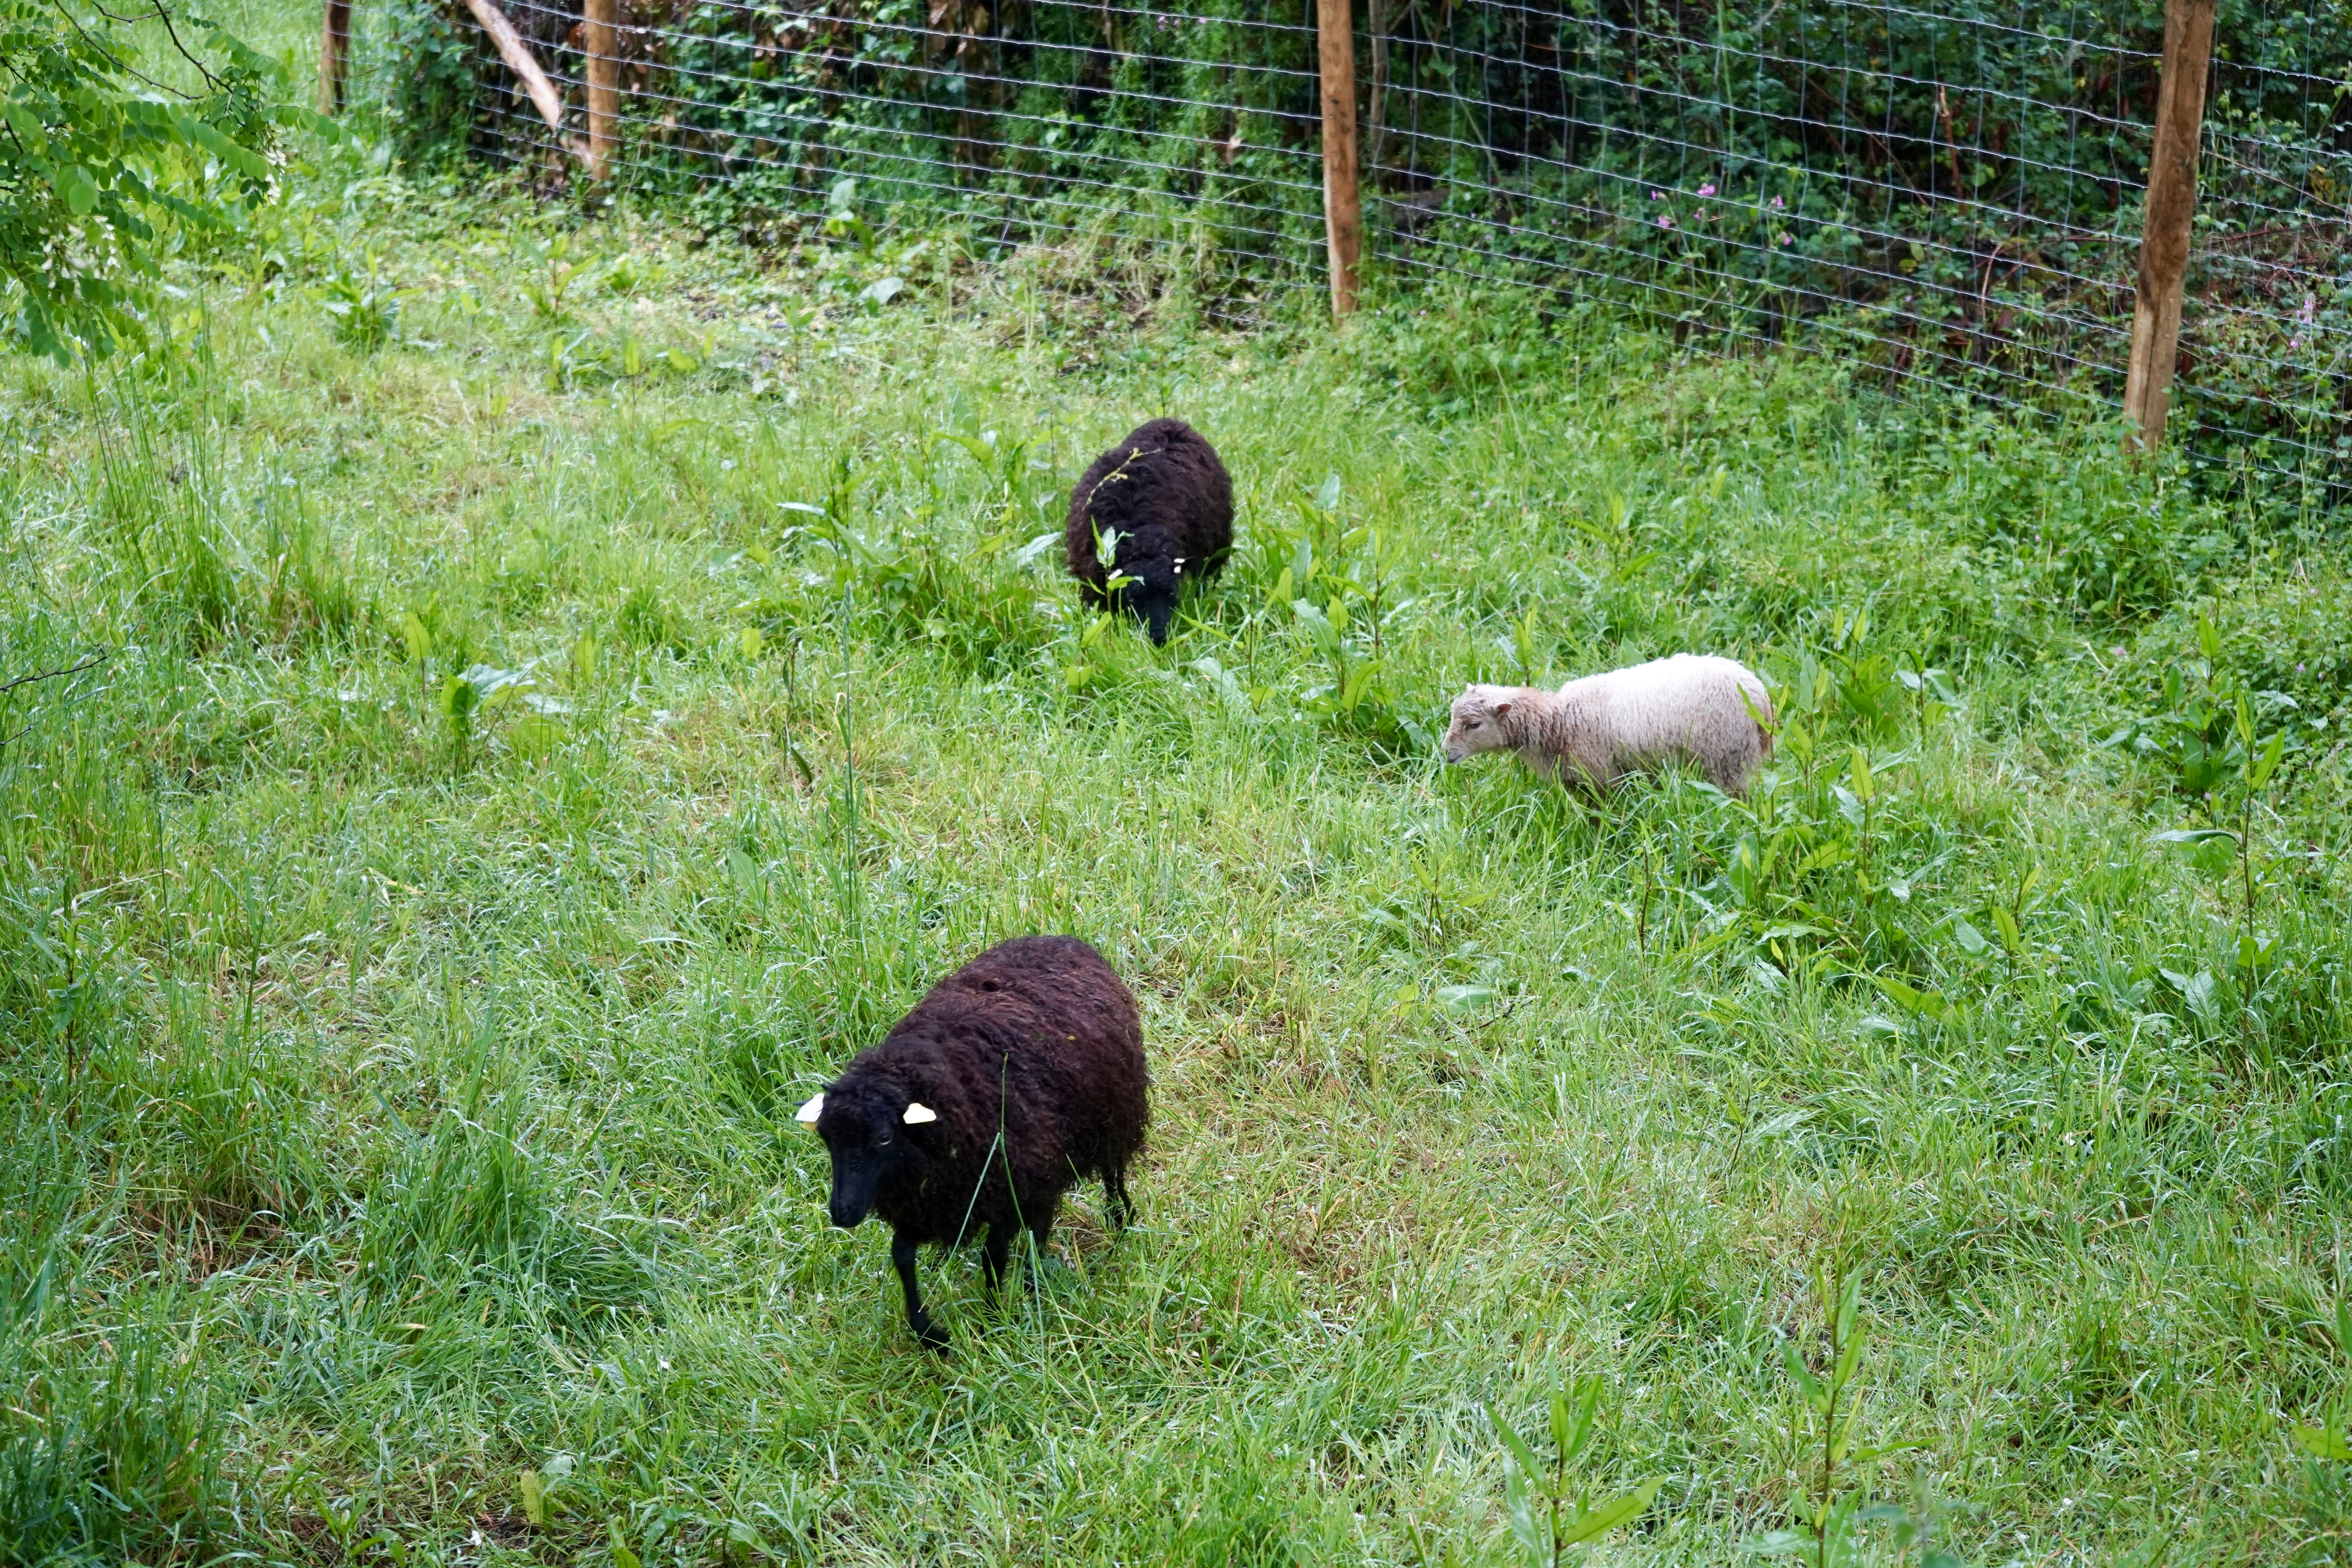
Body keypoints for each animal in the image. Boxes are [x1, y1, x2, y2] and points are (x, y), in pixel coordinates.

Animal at [794, 935, 1149, 1351]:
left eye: (884, 1137)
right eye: (827, 1140)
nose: (843, 1214)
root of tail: (1061, 940)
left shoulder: (1003, 1189)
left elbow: (992, 1258)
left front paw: (995, 1319)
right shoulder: (929, 1201)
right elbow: (902, 1256)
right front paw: (930, 1334)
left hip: (1112, 1117)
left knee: (1112, 1171)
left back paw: (1118, 1220)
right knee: (1043, 1222)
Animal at [1442, 654, 1775, 797]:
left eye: (1473, 724)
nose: (1445, 752)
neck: (1561, 723)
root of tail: (1760, 696)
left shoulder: (1602, 776)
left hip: (1725, 757)